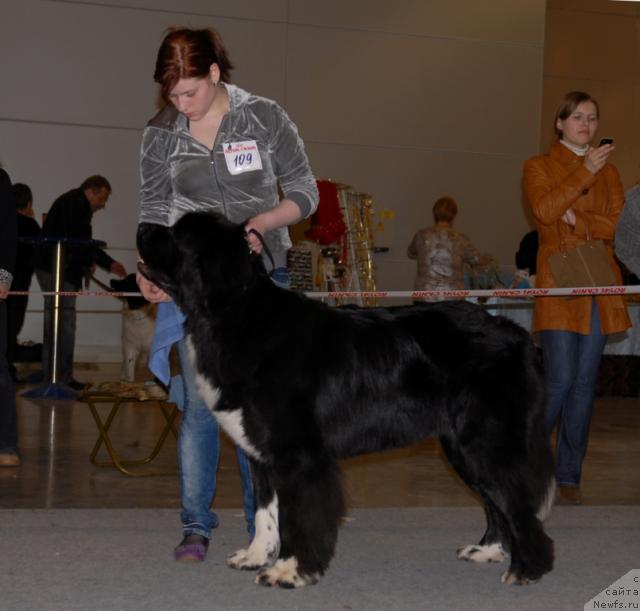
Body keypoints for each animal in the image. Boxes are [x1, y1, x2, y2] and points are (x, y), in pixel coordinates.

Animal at [140, 210, 556, 588]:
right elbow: (264, 510)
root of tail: (519, 336)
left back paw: (527, 569)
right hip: (461, 445)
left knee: (516, 500)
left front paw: (289, 571)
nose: (143, 226)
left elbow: (298, 516)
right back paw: (488, 550)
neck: (237, 316)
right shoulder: (263, 451)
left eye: (177, 235)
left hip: (487, 439)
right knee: (496, 501)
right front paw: (255, 555)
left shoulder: (299, 455)